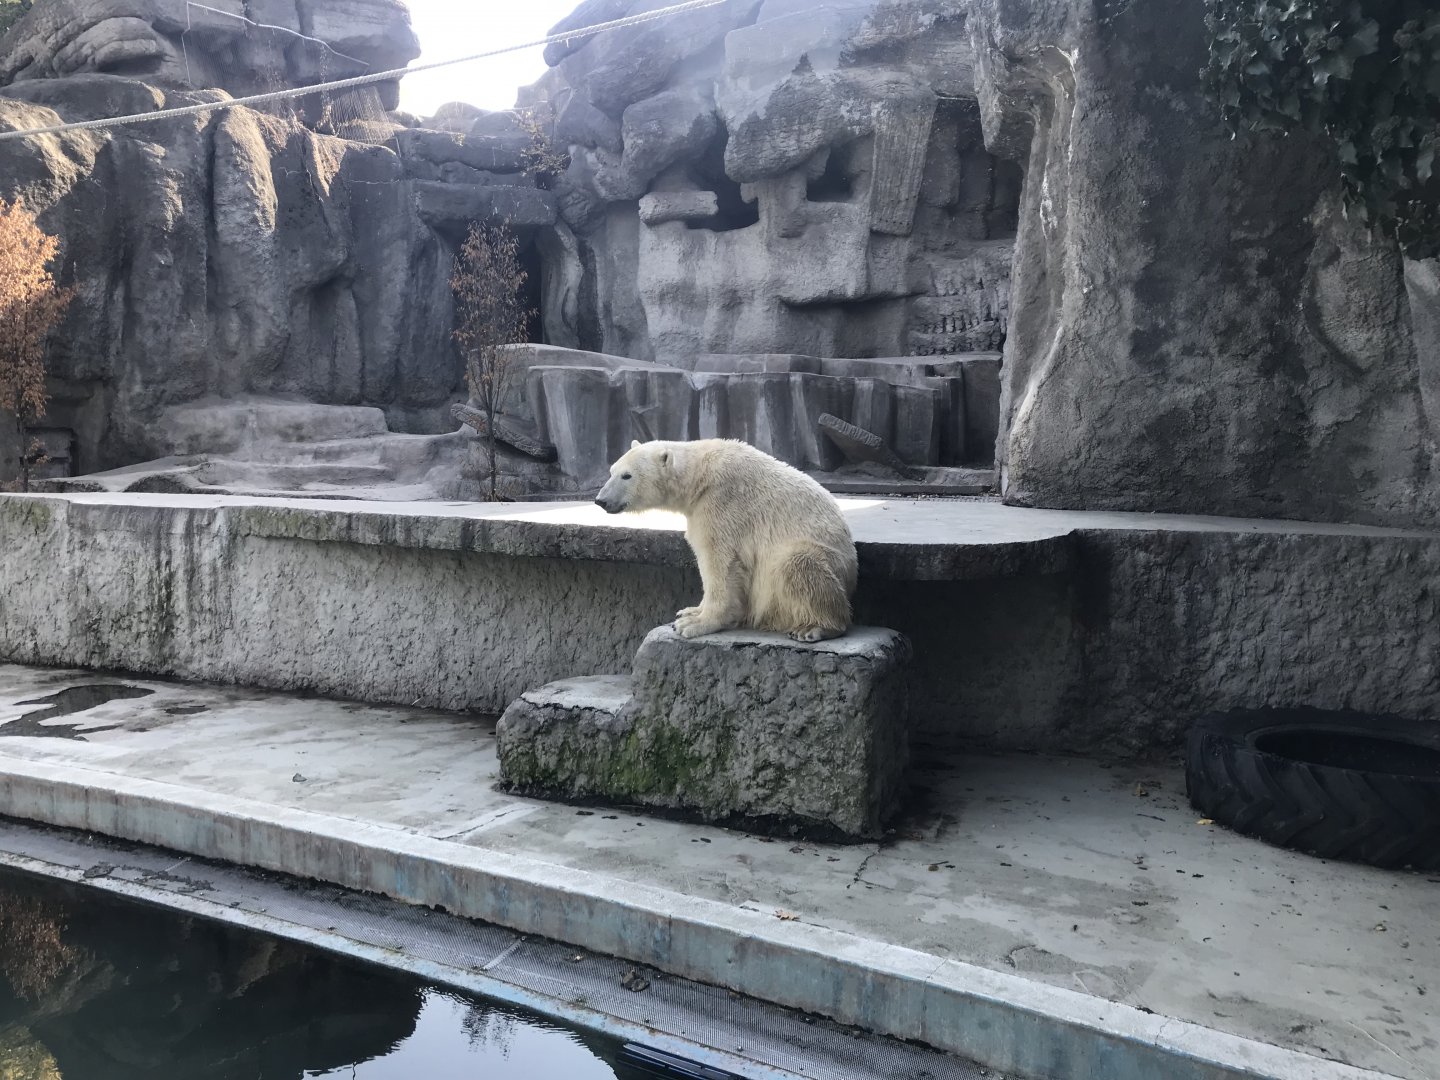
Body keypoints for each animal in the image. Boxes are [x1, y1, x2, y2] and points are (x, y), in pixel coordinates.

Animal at [594, 439, 858, 642]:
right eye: (611, 471)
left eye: (627, 475)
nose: (601, 500)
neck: (698, 476)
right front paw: (689, 612)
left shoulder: (721, 503)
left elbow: (720, 562)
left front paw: (694, 625)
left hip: (824, 558)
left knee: (797, 564)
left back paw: (814, 627)